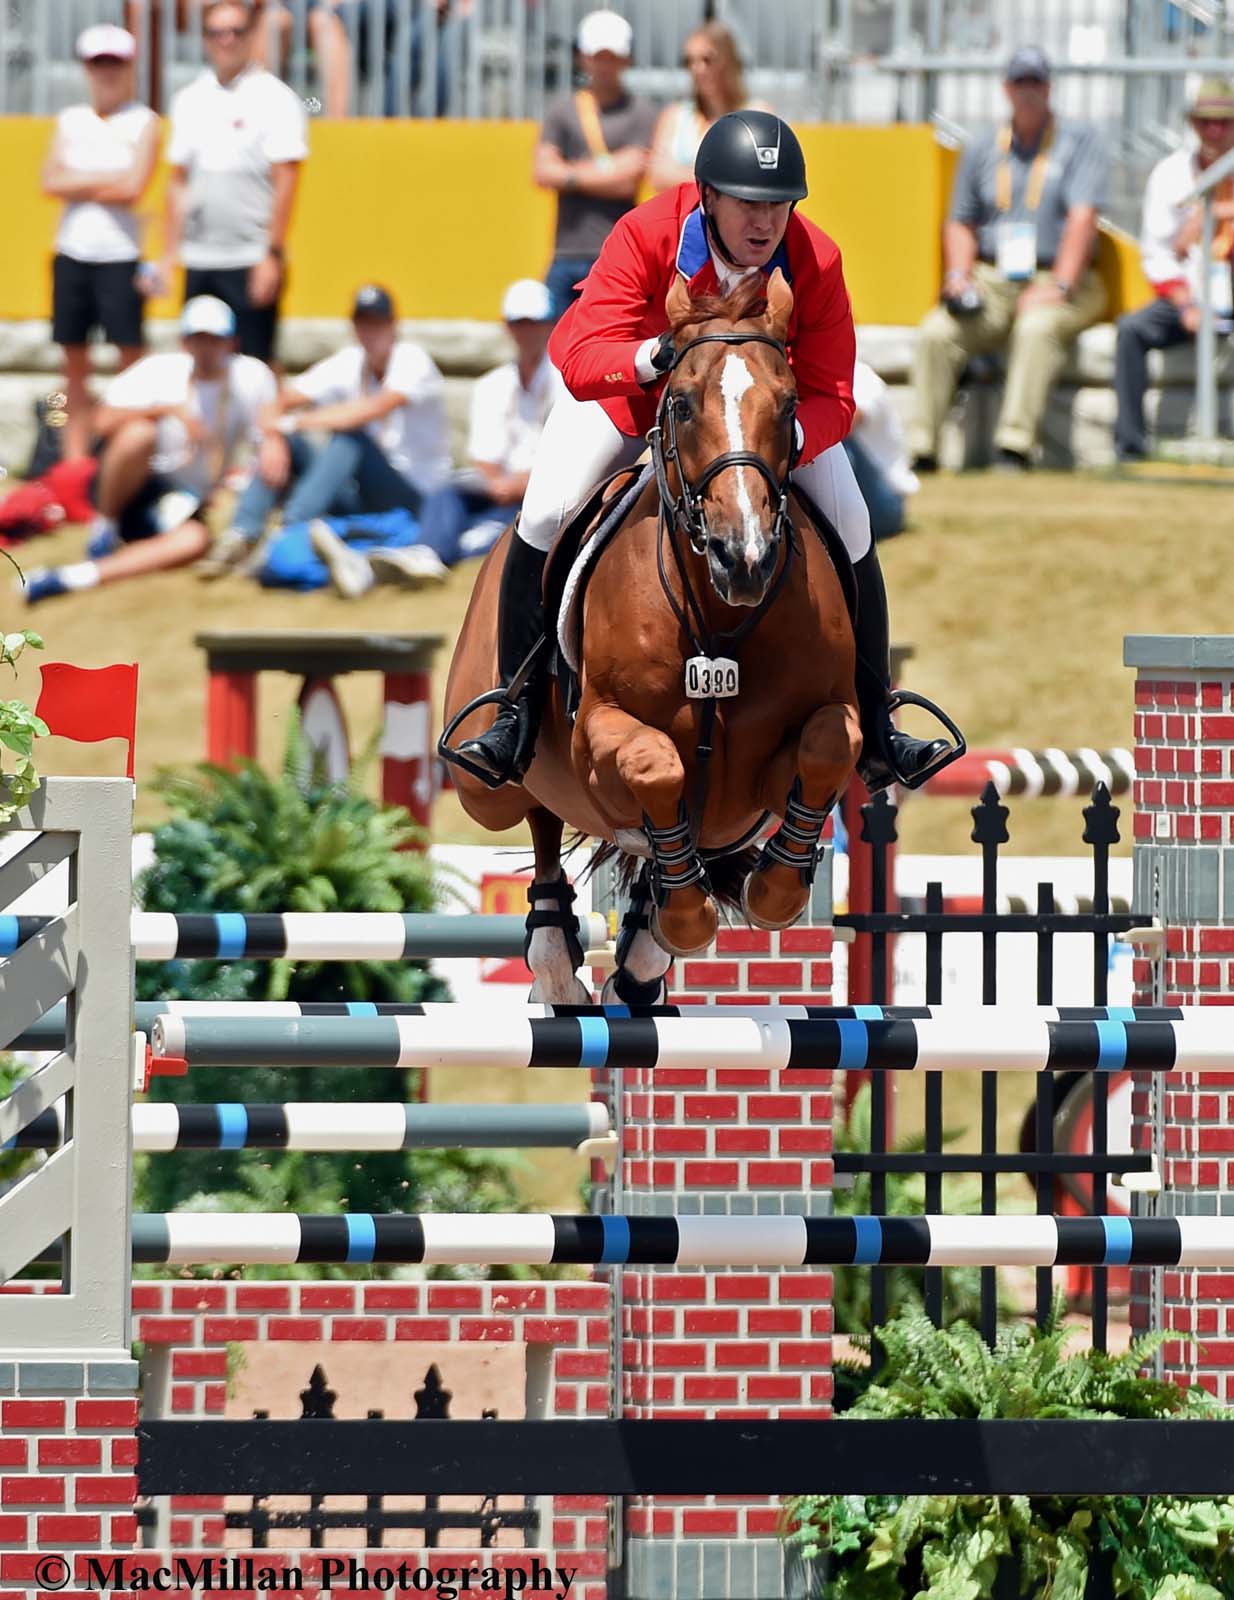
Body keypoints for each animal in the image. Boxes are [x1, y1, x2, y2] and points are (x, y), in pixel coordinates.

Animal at [444, 270, 857, 1004]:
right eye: (684, 405)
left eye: (789, 407)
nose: (744, 558)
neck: (719, 623)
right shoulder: (599, 738)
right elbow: (653, 763)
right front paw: (689, 919)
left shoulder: (787, 759)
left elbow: (830, 744)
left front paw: (773, 893)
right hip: (487, 787)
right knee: (536, 816)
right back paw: (558, 966)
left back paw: (638, 958)